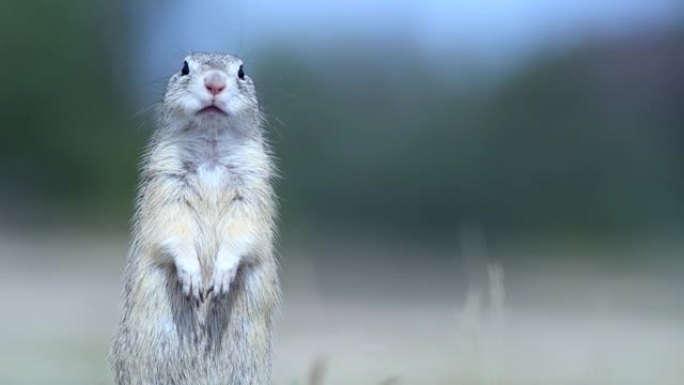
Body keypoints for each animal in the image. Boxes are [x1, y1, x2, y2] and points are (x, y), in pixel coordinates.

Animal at [111, 52, 280, 384]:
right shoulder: (166, 186)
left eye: (242, 72)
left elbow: (245, 231)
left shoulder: (252, 188)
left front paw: (222, 275)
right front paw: (191, 277)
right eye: (184, 67)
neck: (211, 151)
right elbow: (171, 228)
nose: (214, 83)